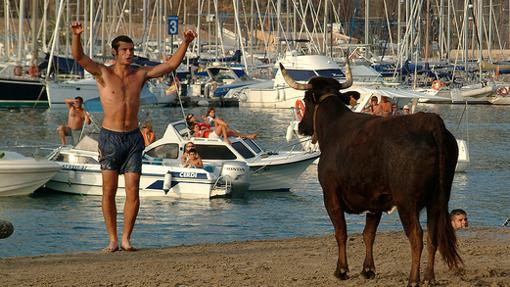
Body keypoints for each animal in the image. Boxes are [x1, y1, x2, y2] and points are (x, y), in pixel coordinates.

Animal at [280, 62, 464, 286]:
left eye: (306, 99)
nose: (302, 127)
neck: (334, 127)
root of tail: (430, 121)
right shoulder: (375, 199)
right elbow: (369, 234)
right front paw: (368, 269)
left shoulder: (330, 194)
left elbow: (341, 232)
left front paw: (341, 270)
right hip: (438, 198)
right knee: (433, 235)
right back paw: (429, 278)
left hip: (407, 201)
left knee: (416, 236)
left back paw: (414, 279)